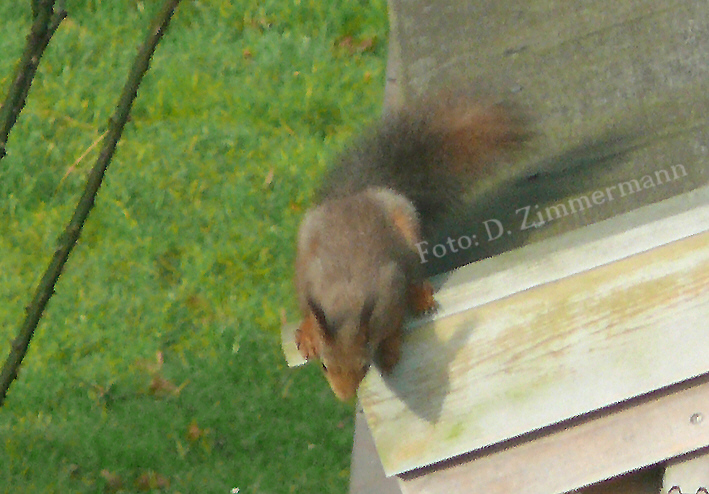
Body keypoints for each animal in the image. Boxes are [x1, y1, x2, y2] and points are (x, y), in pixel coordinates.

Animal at [290, 95, 528, 402]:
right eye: (324, 366)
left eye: (365, 366)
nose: (345, 397)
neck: (346, 301)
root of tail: (359, 194)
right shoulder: (311, 282)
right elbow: (309, 308)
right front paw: (310, 330)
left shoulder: (390, 287)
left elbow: (395, 320)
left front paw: (390, 348)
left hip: (409, 230)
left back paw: (420, 295)